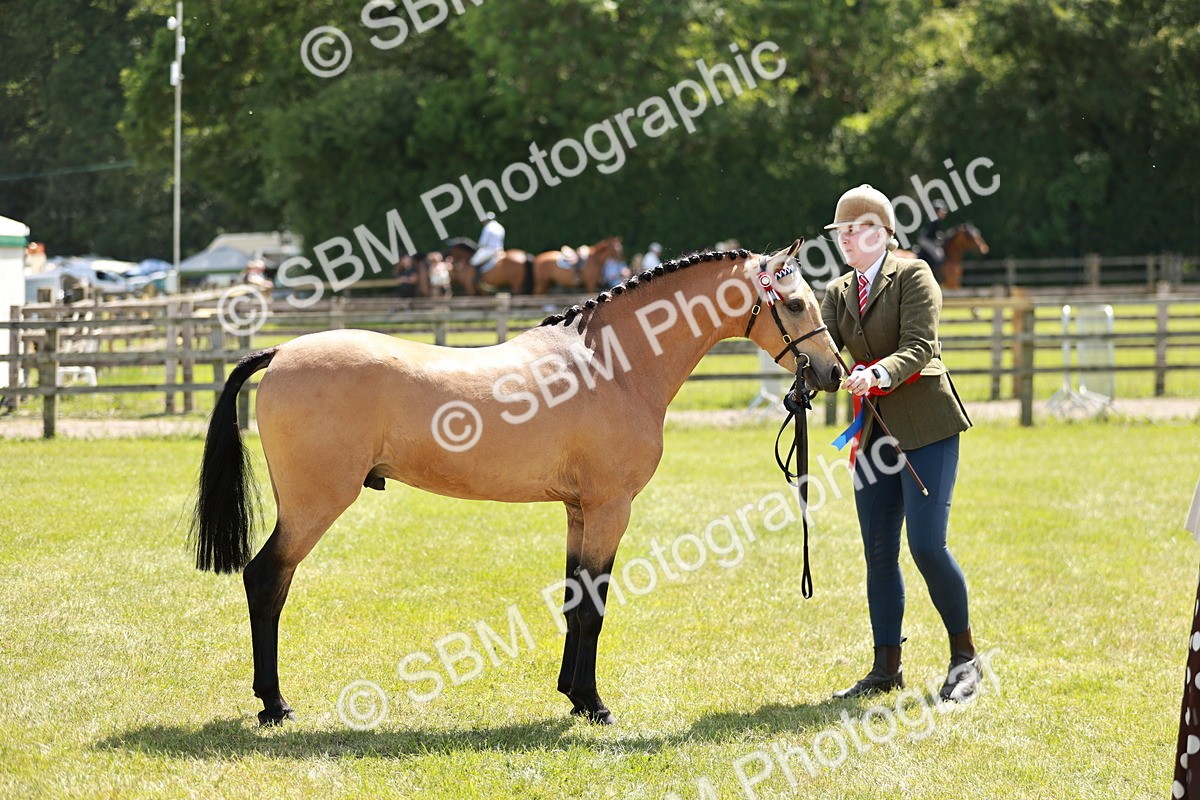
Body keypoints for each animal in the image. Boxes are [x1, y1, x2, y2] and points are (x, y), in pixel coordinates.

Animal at [190, 240, 844, 727]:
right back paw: (274, 704)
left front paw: (573, 695)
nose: (833, 373)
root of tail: (280, 352)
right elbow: (594, 606)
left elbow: (575, 599)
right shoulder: (610, 509)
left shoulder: (580, 510)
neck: (613, 364)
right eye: (793, 303)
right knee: (266, 580)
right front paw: (596, 705)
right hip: (314, 506)